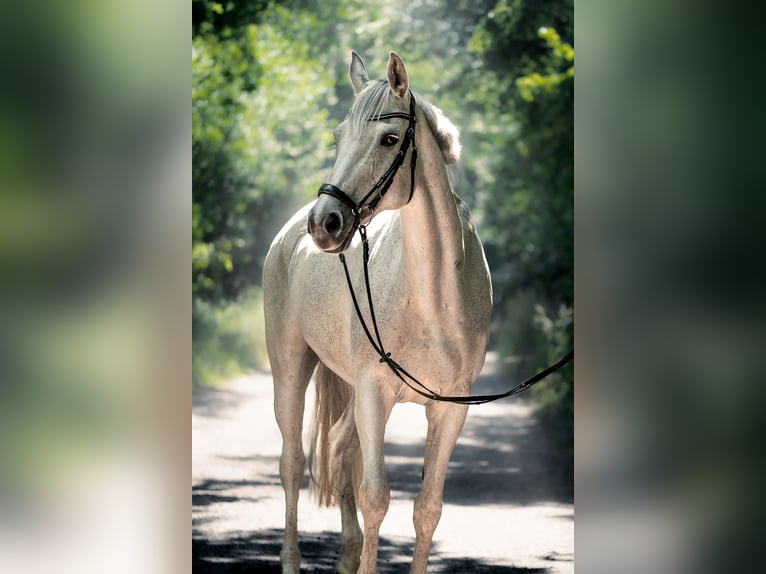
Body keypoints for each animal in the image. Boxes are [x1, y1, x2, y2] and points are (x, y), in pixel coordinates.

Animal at [264, 50, 492, 574]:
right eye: (337, 137)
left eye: (389, 139)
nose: (325, 224)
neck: (433, 299)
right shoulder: (374, 393)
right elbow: (376, 499)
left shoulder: (450, 409)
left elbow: (427, 508)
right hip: (290, 367)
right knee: (293, 463)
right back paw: (291, 560)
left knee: (340, 446)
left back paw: (347, 555)